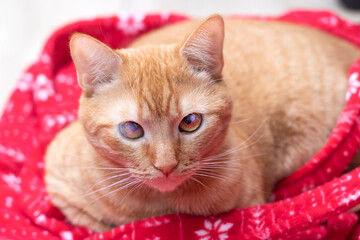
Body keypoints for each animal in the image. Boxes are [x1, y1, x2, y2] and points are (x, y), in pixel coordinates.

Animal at [45, 14, 360, 231]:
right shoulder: (59, 186)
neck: (163, 208)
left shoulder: (253, 207)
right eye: (132, 129)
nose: (166, 166)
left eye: (190, 122)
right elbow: (100, 226)